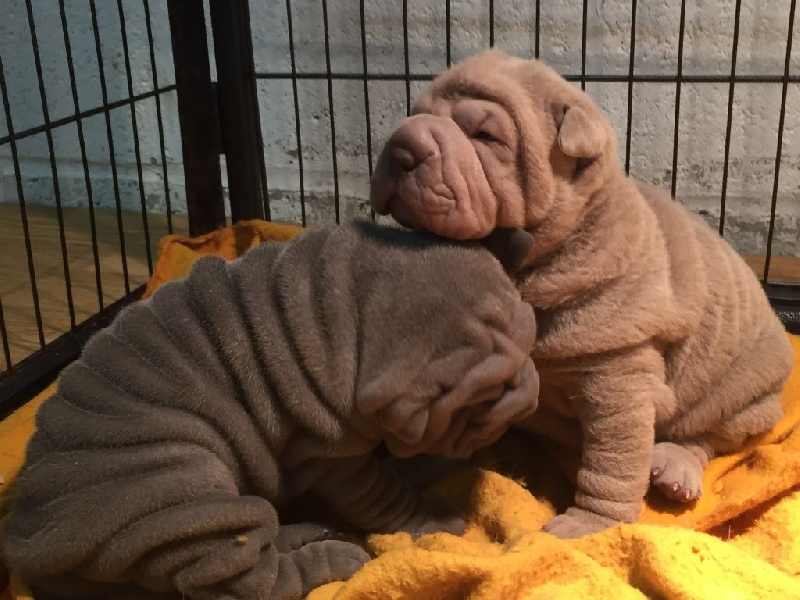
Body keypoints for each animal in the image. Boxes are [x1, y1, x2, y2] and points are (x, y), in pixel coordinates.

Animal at [1, 221, 536, 600]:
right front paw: (430, 517)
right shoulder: (329, 456)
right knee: (246, 578)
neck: (341, 311)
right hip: (180, 492)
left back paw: (303, 529)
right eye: (488, 396)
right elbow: (385, 493)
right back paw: (332, 557)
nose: (529, 396)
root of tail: (26, 539)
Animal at [372, 49, 796, 540]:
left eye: (485, 136)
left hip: (744, 396)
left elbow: (613, 460)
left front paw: (589, 526)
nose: (401, 145)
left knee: (707, 435)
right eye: (413, 114)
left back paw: (675, 468)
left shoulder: (617, 375)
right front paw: (411, 467)